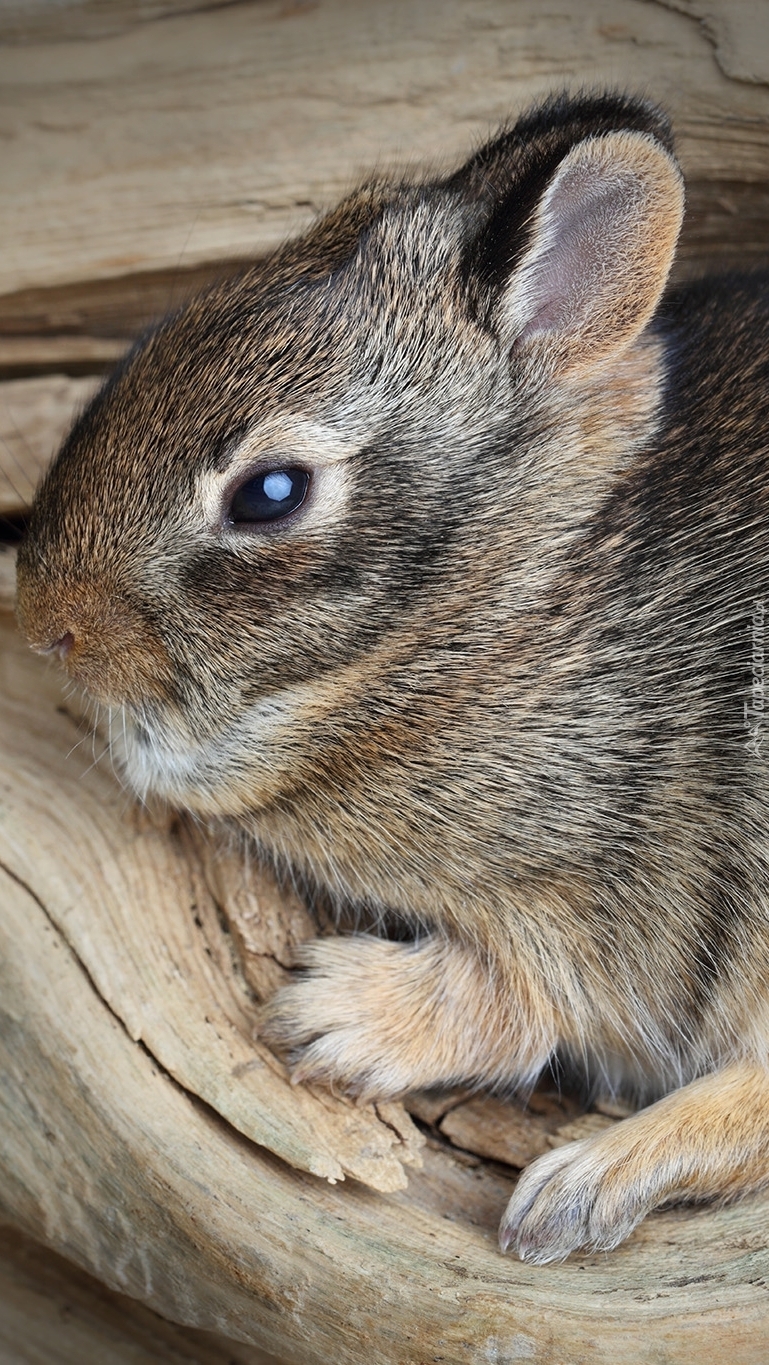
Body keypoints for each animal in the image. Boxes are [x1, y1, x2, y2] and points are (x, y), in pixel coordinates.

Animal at [16, 88, 769, 1266]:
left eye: (270, 493)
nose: (47, 625)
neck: (510, 596)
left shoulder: (604, 903)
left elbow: (514, 997)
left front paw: (331, 1015)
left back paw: (577, 1185)